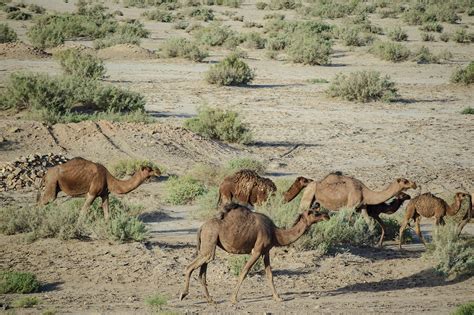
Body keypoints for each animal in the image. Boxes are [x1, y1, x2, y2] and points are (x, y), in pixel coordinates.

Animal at [179, 204, 330, 304]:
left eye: (317, 210)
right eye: (314, 212)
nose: (327, 215)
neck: (275, 233)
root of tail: (202, 226)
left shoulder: (265, 251)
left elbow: (269, 275)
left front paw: (278, 297)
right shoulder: (257, 251)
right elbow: (244, 271)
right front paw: (233, 299)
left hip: (208, 245)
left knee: (202, 272)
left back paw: (210, 299)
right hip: (210, 242)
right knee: (190, 267)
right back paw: (183, 294)